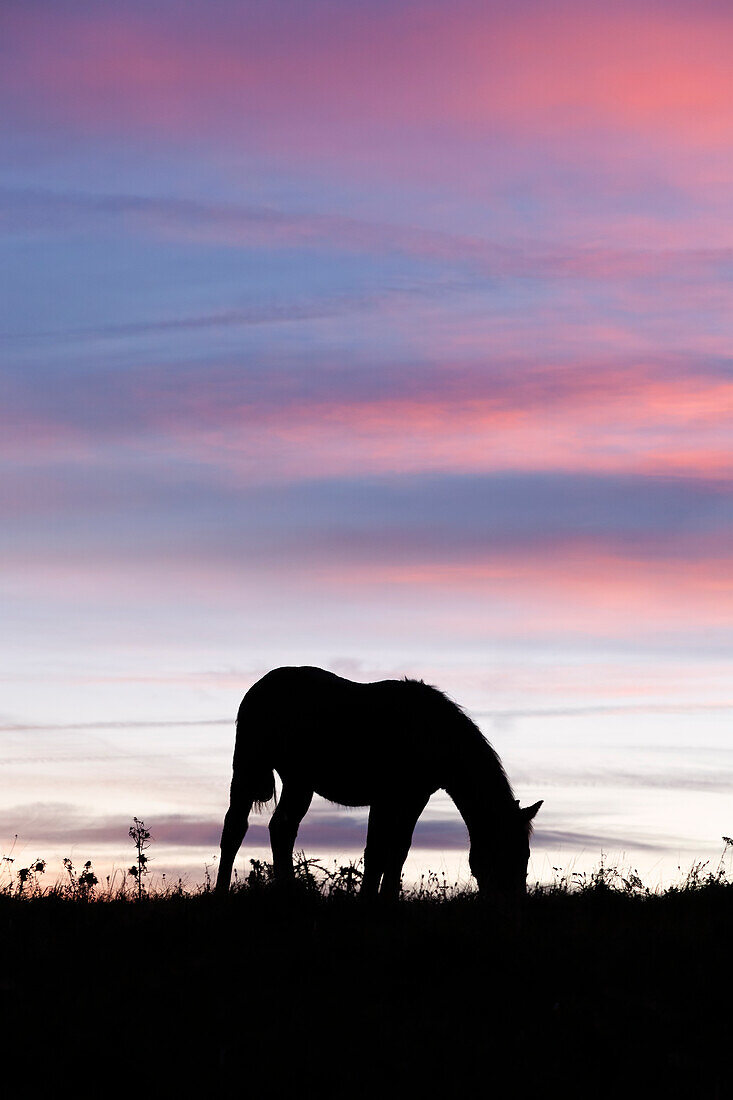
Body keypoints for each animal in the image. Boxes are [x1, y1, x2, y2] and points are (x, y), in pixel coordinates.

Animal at [214, 664, 539, 897]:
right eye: (505, 851)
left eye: (525, 855)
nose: (513, 900)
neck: (431, 734)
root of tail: (260, 686)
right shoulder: (385, 798)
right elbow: (376, 851)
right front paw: (369, 899)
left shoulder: (414, 798)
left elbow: (399, 850)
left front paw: (389, 898)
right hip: (249, 768)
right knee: (235, 827)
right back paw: (222, 891)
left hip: (299, 781)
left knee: (282, 828)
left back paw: (288, 891)